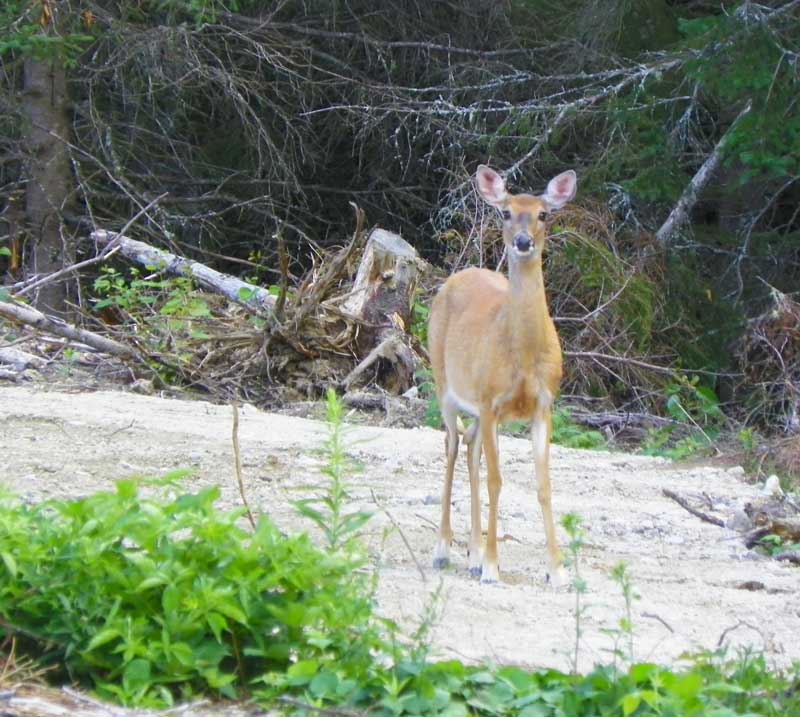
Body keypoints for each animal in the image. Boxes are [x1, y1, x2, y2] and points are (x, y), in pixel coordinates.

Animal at [432, 165, 576, 584]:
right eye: (506, 212)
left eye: (544, 214)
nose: (524, 242)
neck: (523, 358)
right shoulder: (491, 401)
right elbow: (497, 481)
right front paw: (493, 568)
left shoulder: (543, 405)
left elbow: (544, 485)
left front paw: (557, 570)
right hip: (443, 383)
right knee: (451, 444)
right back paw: (445, 550)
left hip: (477, 408)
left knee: (470, 446)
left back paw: (473, 554)